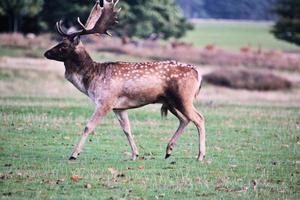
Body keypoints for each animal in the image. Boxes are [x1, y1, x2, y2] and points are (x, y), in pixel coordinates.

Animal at [43, 0, 205, 161]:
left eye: (64, 46)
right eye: (60, 41)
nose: (46, 53)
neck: (91, 78)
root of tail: (198, 73)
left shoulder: (105, 101)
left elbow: (88, 126)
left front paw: (74, 154)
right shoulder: (119, 107)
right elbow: (126, 129)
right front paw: (135, 154)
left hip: (183, 97)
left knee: (199, 118)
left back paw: (200, 156)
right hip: (171, 101)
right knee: (185, 119)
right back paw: (168, 151)